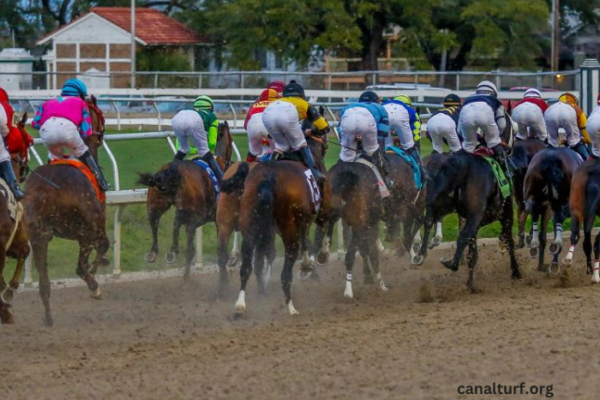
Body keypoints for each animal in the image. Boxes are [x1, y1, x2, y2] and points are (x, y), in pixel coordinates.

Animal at [23, 95, 110, 326]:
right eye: (100, 114)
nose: (101, 135)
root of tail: (47, 188)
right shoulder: (96, 225)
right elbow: (103, 246)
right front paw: (98, 267)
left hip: (39, 236)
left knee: (44, 283)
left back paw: (48, 317)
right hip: (85, 230)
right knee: (79, 267)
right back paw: (94, 288)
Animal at [139, 120, 231, 280]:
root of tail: (171, 172)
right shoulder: (210, 219)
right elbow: (219, 251)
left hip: (155, 203)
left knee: (154, 222)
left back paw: (153, 252)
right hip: (190, 213)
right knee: (177, 227)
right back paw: (173, 252)